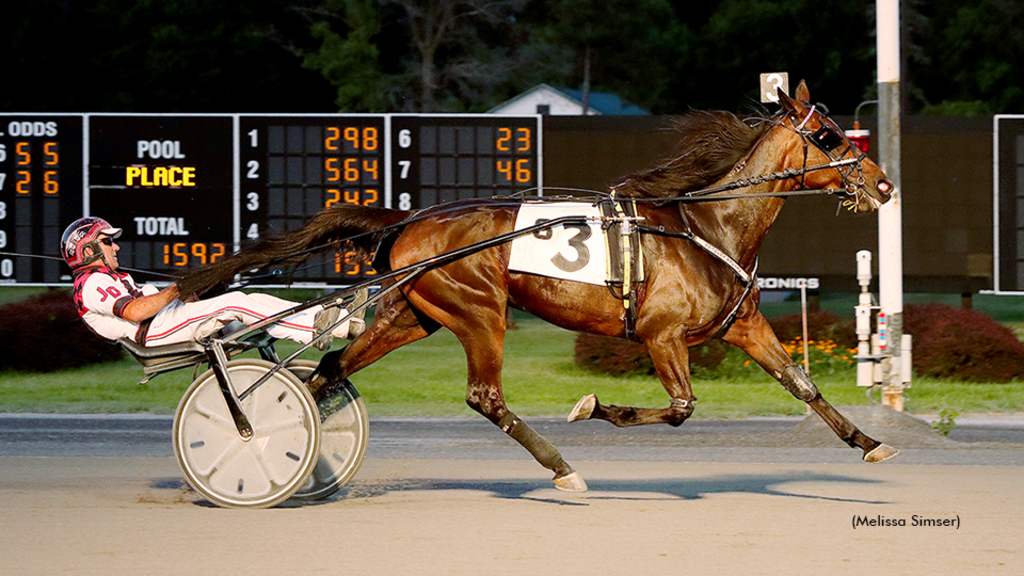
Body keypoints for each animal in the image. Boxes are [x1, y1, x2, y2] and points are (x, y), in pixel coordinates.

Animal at [182, 83, 897, 491]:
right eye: (829, 135)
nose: (884, 183)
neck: (707, 227)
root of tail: (409, 219)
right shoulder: (663, 335)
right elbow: (680, 407)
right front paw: (597, 407)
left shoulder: (741, 325)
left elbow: (803, 385)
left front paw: (870, 443)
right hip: (480, 311)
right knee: (484, 396)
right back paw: (561, 467)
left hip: (417, 312)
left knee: (329, 368)